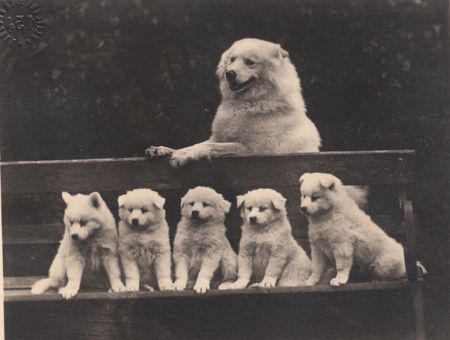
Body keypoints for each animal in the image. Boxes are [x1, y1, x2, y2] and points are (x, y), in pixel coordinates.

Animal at [147, 37, 320, 167]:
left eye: (250, 62)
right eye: (232, 59)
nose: (229, 73)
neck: (247, 102)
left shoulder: (253, 150)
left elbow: (211, 146)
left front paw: (183, 155)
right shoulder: (219, 138)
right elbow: (198, 144)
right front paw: (164, 150)